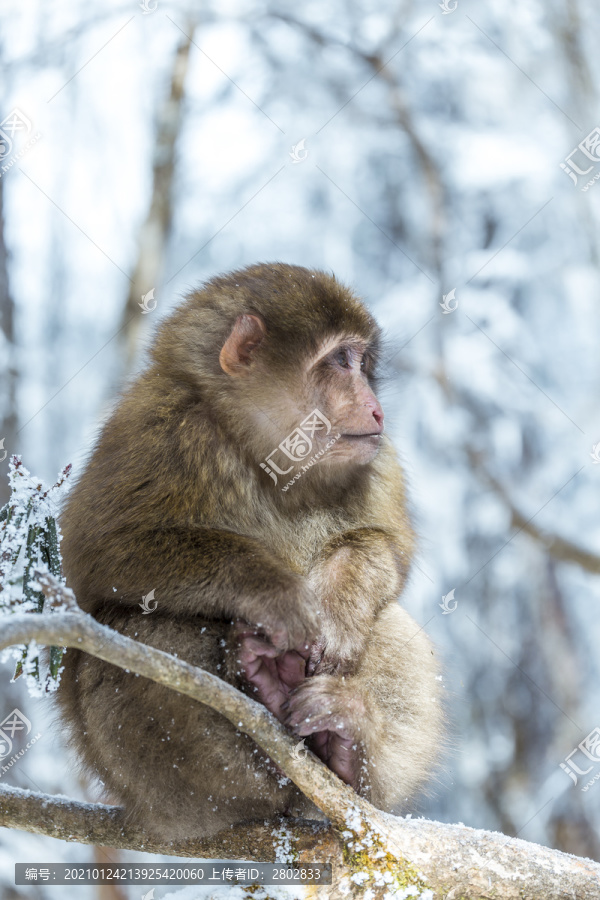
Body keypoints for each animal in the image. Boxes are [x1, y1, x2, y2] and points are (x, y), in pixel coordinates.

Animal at [55, 264, 440, 840]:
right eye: (340, 361)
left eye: (363, 363)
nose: (375, 409)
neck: (268, 454)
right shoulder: (160, 427)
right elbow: (99, 554)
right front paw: (275, 593)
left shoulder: (377, 454)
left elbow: (388, 546)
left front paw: (339, 600)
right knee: (131, 630)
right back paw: (258, 747)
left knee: (390, 620)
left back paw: (347, 746)